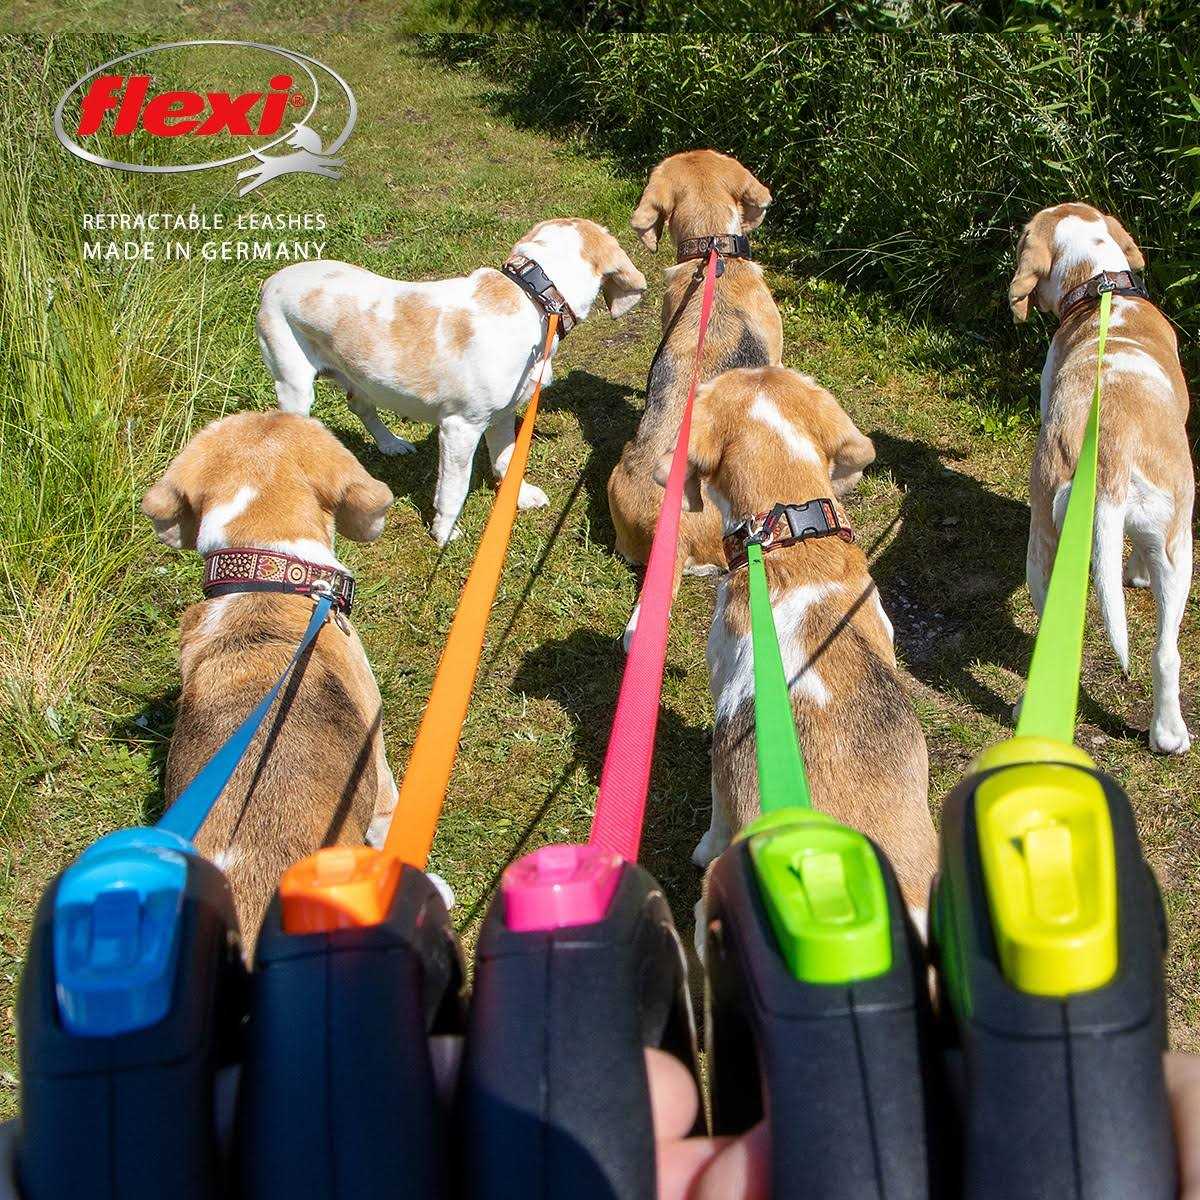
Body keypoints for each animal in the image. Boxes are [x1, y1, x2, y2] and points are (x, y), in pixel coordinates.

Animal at [257, 219, 646, 546]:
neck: (532, 298)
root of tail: (272, 280)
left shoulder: (502, 416)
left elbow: (506, 459)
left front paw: (518, 498)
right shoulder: (461, 428)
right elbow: (453, 491)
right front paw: (444, 532)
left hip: (358, 377)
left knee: (361, 406)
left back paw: (390, 444)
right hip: (294, 384)